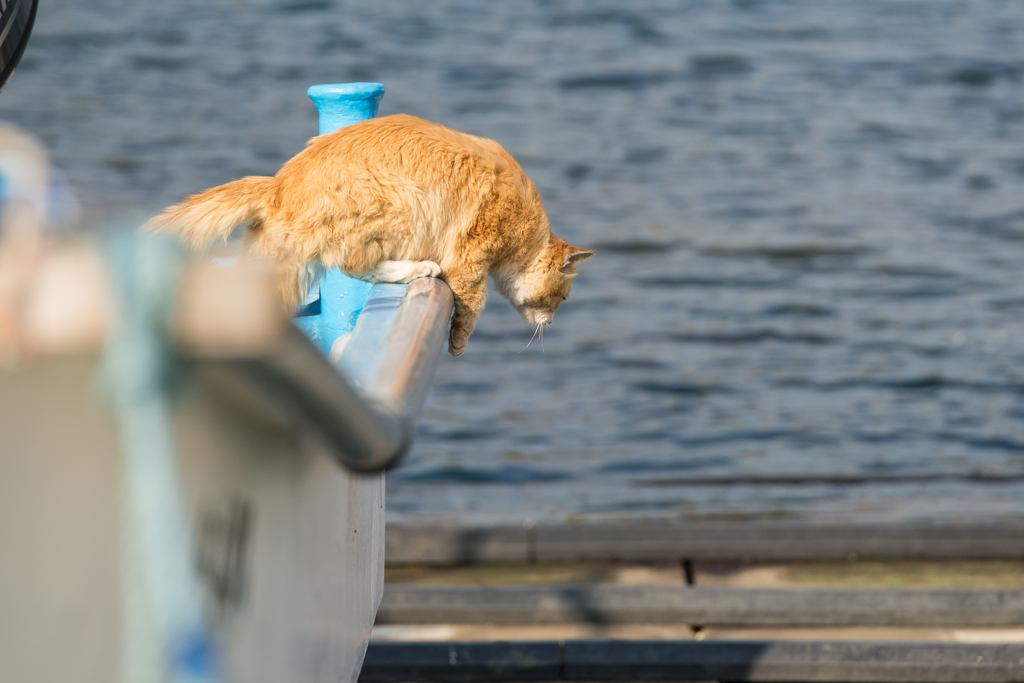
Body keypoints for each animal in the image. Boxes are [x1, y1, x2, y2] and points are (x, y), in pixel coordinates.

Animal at [144, 114, 593, 356]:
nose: (551, 321)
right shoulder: (471, 255)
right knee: (357, 265)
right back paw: (417, 267)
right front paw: (458, 343)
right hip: (399, 205)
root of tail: (278, 186)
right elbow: (471, 306)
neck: (526, 233)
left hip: (283, 267)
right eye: (561, 299)